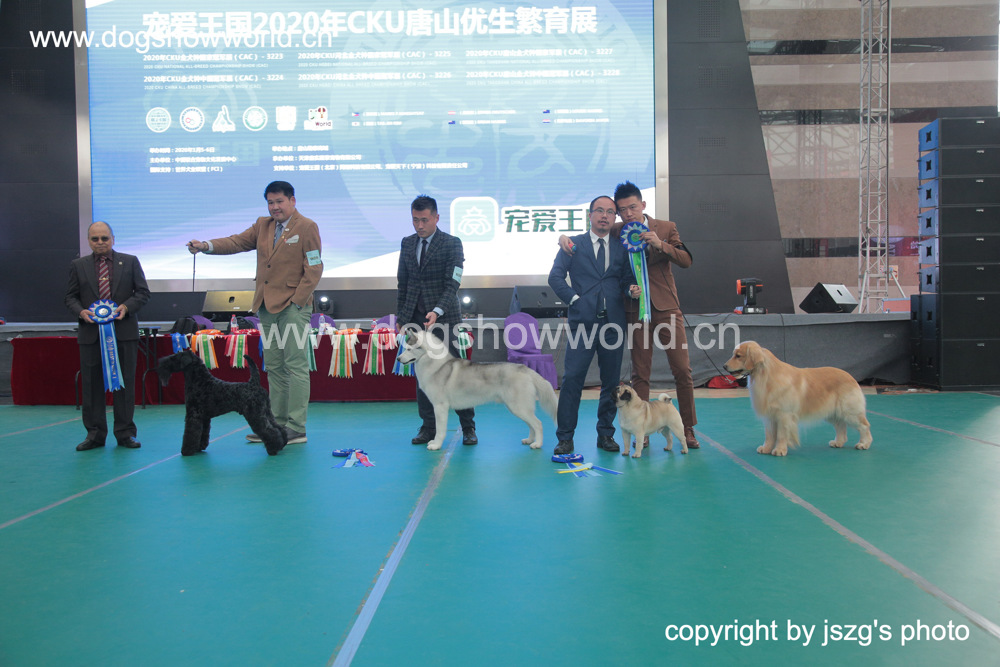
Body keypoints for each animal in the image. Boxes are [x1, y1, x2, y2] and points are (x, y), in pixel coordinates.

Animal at [157, 349, 287, 456]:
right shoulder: (204, 417)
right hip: (266, 412)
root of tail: (254, 383)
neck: (199, 381)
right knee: (278, 426)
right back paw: (283, 443)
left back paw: (273, 448)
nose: (160, 364)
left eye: (174, 357)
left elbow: (190, 433)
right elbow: (202, 433)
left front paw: (186, 451)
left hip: (255, 414)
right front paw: (199, 447)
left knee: (269, 430)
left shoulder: (193, 415)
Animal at [395, 328, 558, 451]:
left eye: (409, 349)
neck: (435, 365)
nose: (398, 359)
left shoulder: (440, 407)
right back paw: (530, 440)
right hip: (517, 408)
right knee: (531, 424)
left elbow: (440, 429)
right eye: (404, 349)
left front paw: (436, 445)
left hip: (518, 407)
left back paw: (537, 444)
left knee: (538, 424)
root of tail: (525, 369)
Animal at [723, 341, 872, 456]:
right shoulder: (770, 416)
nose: (724, 366)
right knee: (841, 426)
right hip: (832, 412)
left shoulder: (784, 415)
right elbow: (769, 435)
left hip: (849, 411)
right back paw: (838, 442)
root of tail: (851, 377)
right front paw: (766, 448)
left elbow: (781, 435)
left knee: (864, 426)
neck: (765, 376)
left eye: (738, 356)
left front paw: (779, 450)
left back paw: (864, 444)